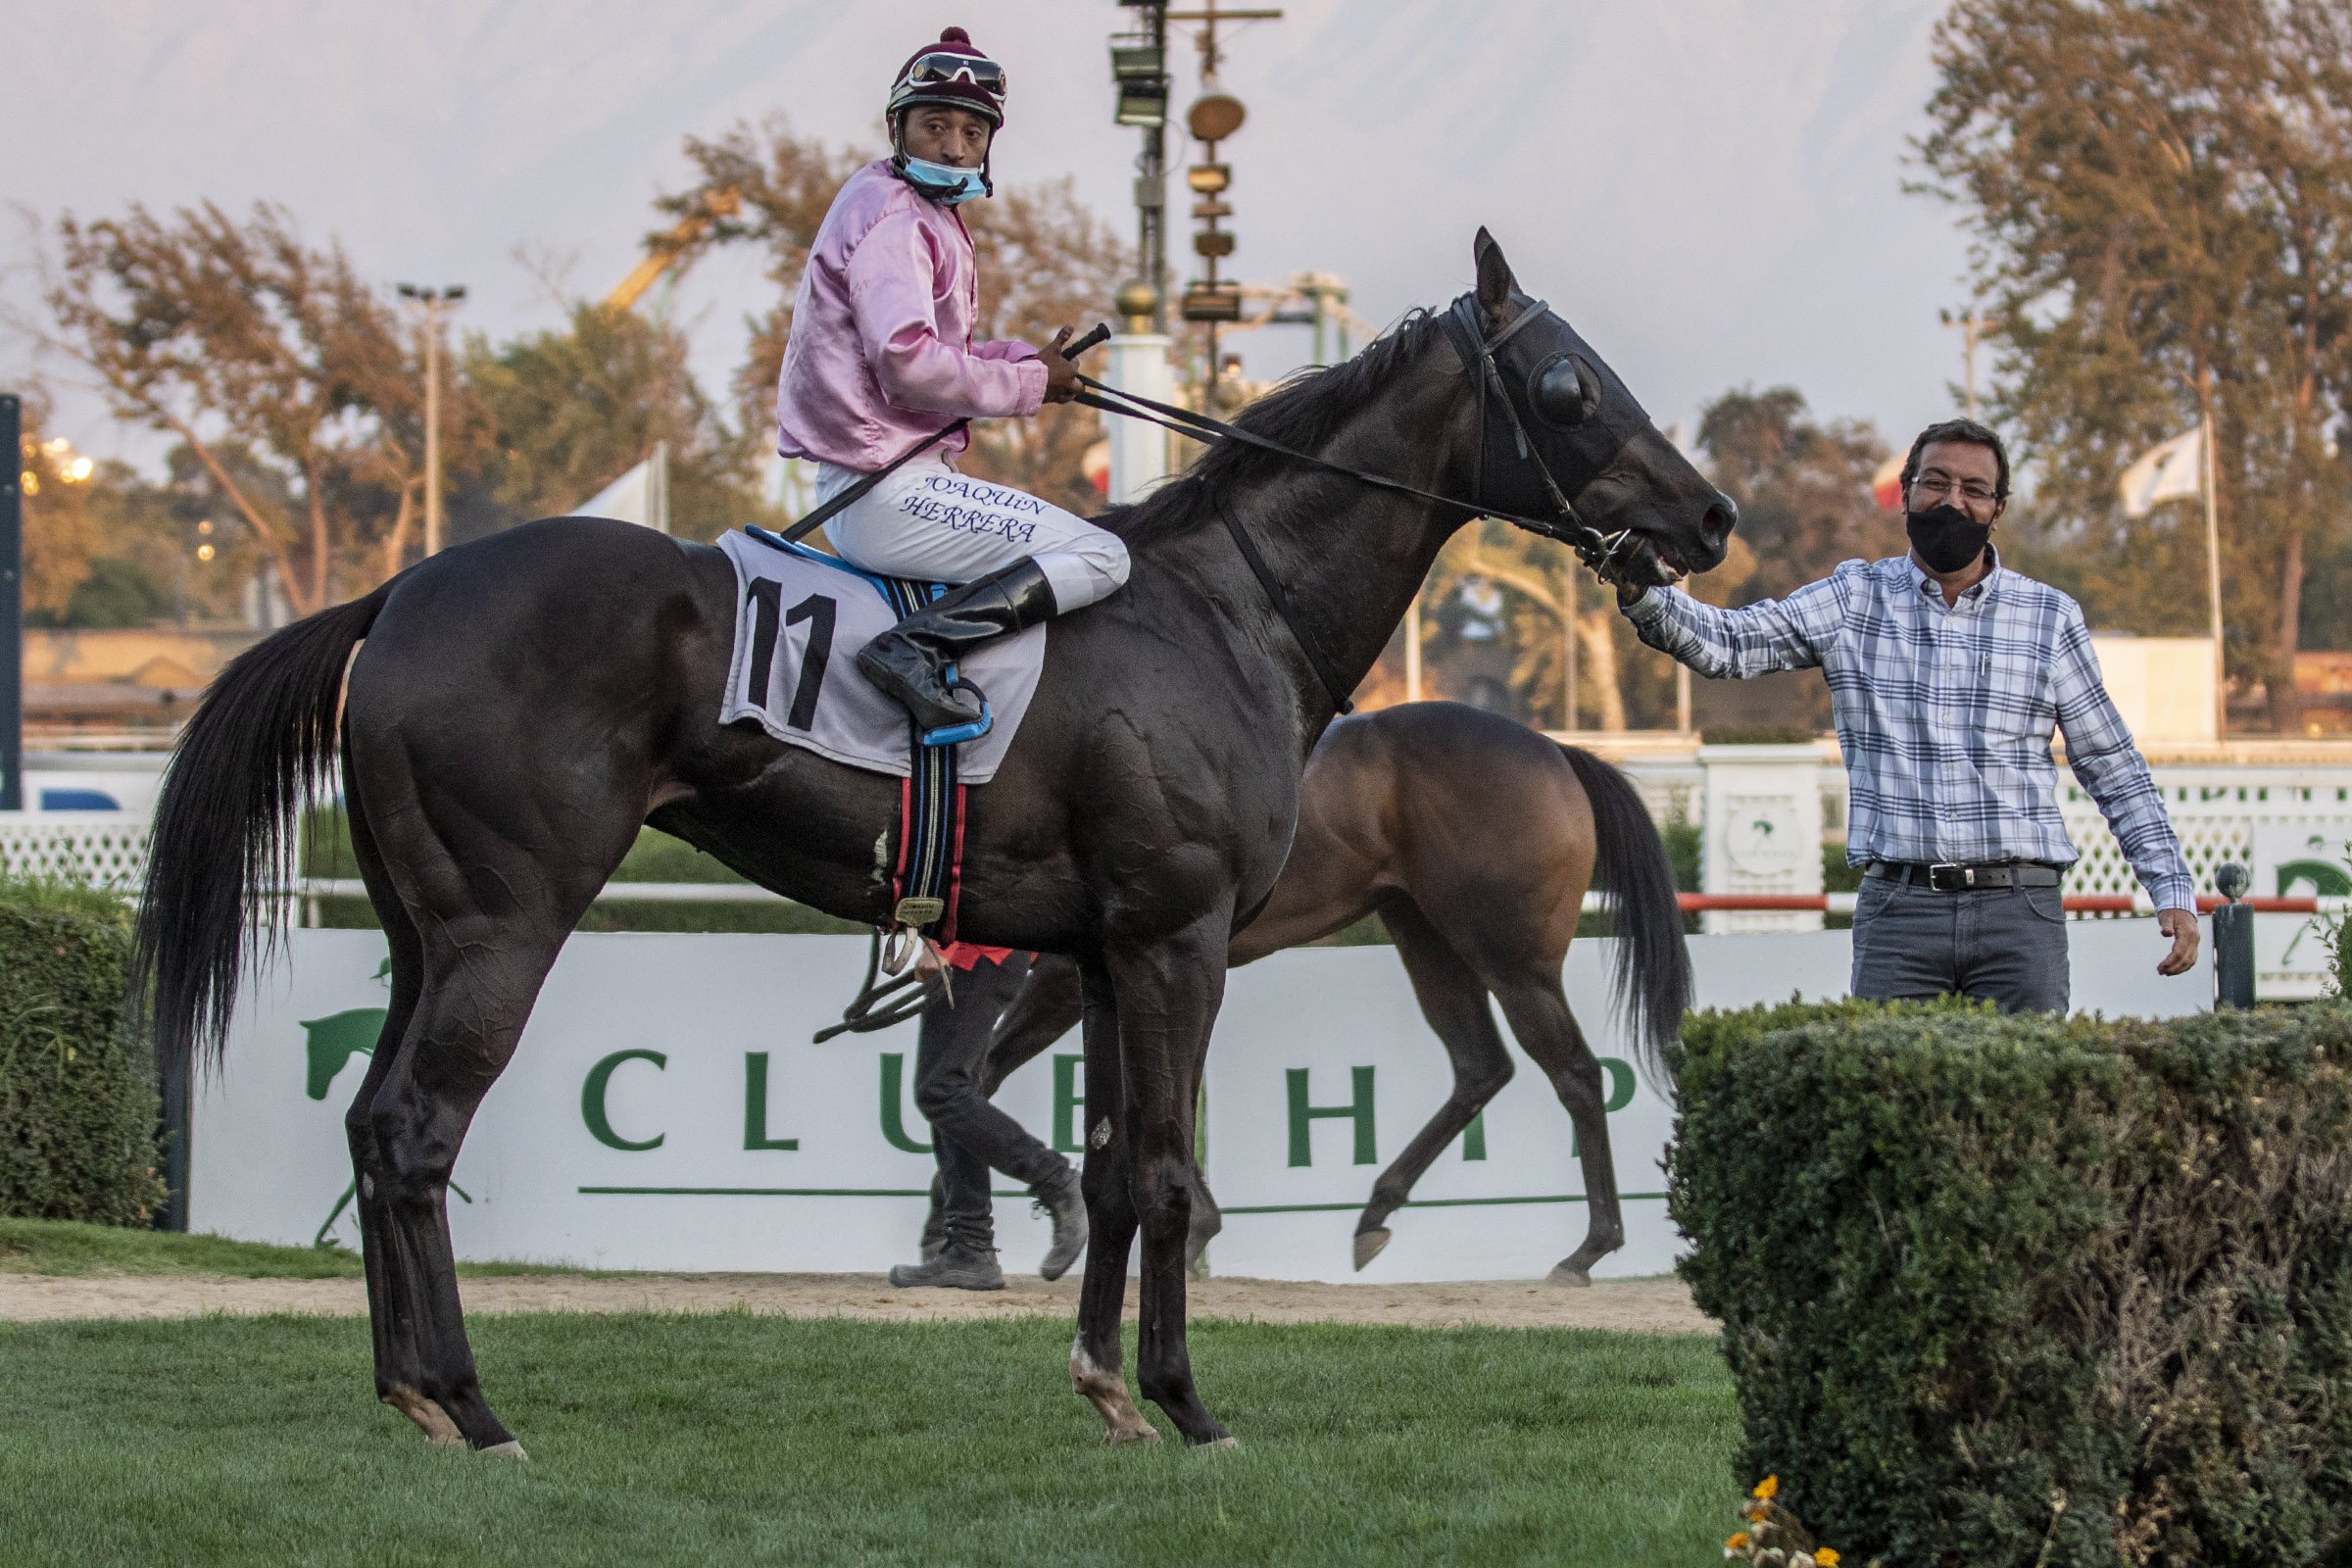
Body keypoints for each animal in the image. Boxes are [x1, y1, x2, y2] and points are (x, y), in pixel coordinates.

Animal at [912, 699, 1690, 1285]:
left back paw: (1588, 1247)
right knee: (1480, 1067)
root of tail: (1555, 751)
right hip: (1424, 936)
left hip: (1513, 963)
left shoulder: (1068, 983)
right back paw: (1377, 1214)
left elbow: (983, 1078)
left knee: (1576, 1076)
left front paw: (950, 1230)